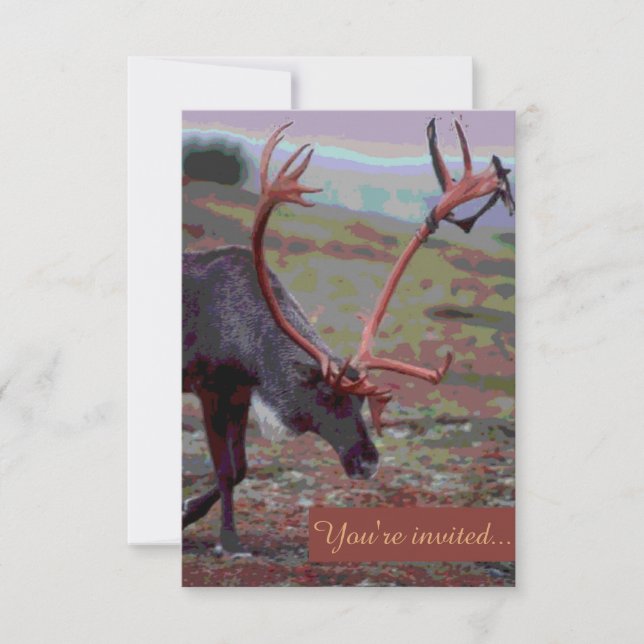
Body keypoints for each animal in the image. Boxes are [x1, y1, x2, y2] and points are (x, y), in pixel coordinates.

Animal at [182, 118, 514, 555]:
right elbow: (225, 469)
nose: (368, 462)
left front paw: (189, 513)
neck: (250, 342)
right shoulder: (211, 388)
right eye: (327, 395)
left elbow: (240, 469)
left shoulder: (238, 393)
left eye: (361, 402)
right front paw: (228, 539)